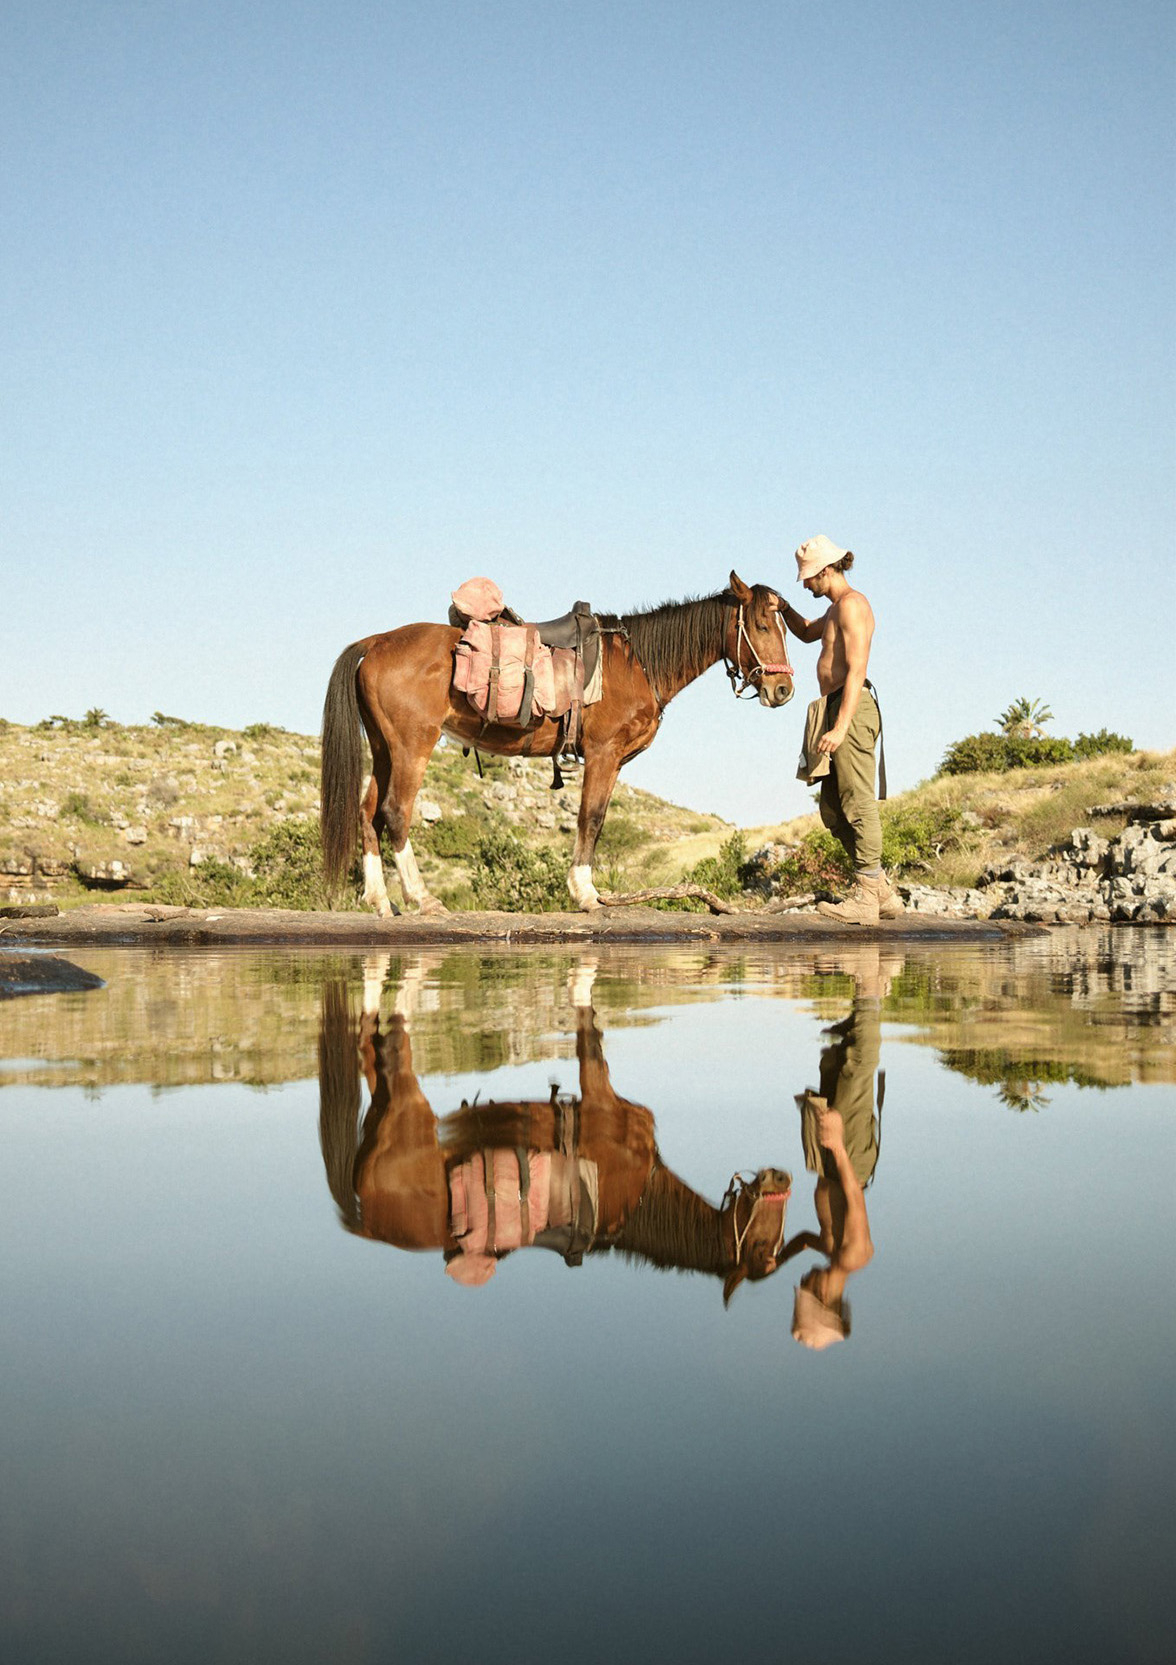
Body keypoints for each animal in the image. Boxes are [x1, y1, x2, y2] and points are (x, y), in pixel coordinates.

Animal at [318, 569, 786, 912]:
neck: (638, 663)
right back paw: (422, 898)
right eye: (762, 625)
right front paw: (586, 893)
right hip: (412, 746)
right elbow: (590, 819)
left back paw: (380, 900)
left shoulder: (612, 761)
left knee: (368, 814)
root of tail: (378, 641)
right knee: (396, 812)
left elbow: (595, 821)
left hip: (384, 747)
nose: (783, 690)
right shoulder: (603, 753)